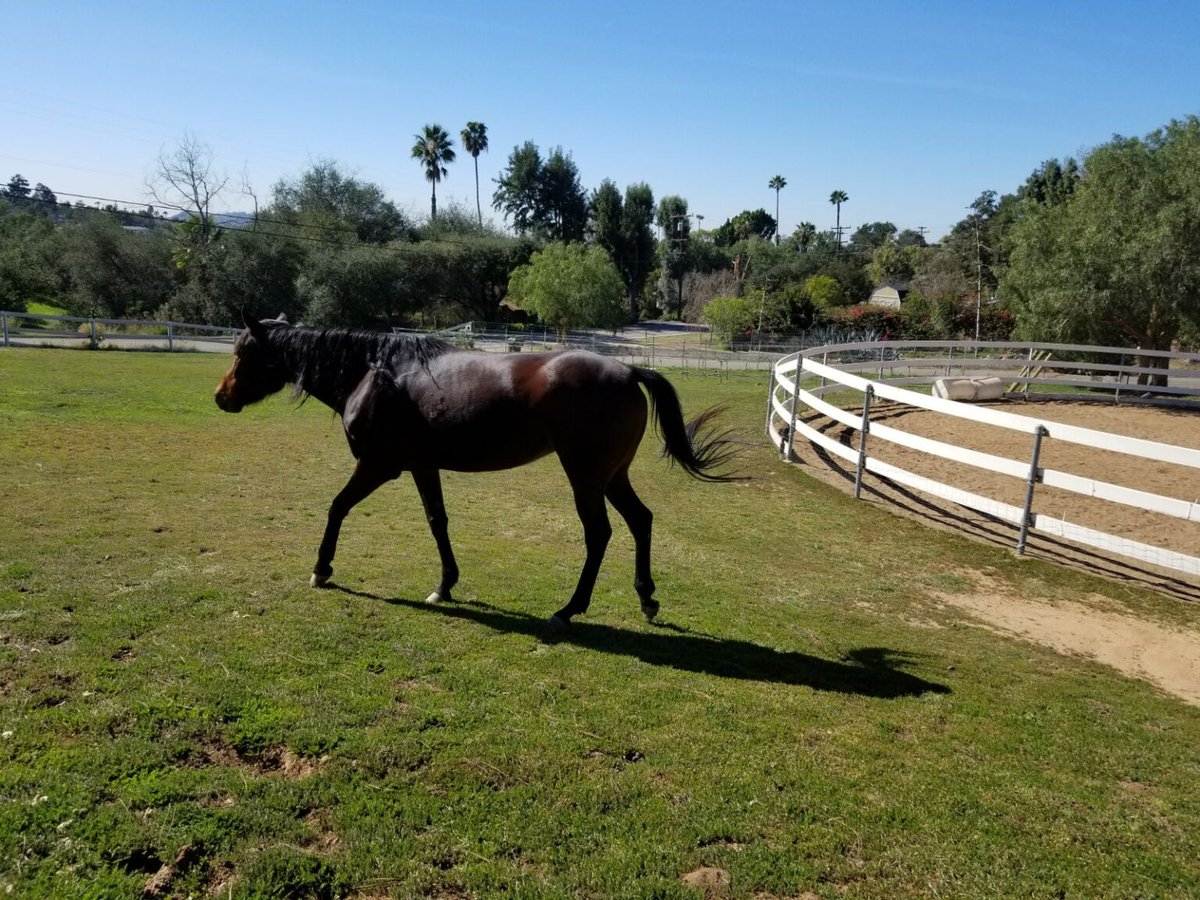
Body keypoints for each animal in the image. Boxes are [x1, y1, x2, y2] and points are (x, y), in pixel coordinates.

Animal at [214, 313, 739, 627]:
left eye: (243, 353)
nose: (220, 397)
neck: (375, 373)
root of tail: (630, 371)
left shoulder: (378, 466)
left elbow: (337, 507)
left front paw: (322, 569)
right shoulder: (422, 466)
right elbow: (437, 522)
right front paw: (445, 585)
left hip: (587, 477)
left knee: (600, 534)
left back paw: (569, 609)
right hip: (612, 476)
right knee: (640, 521)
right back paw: (646, 598)